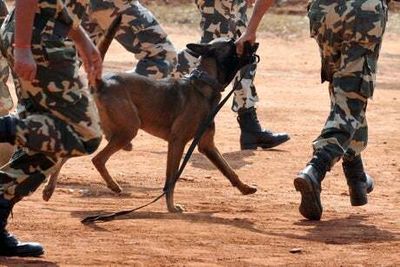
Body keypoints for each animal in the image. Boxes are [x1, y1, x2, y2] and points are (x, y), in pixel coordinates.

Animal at [43, 16, 260, 214]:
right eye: (233, 43)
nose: (254, 42)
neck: (204, 85)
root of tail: (101, 83)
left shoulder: (207, 146)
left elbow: (229, 171)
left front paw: (245, 188)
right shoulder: (177, 142)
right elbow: (171, 178)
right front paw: (171, 206)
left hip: (103, 133)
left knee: (70, 157)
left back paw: (50, 189)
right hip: (128, 130)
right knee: (97, 159)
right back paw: (111, 185)